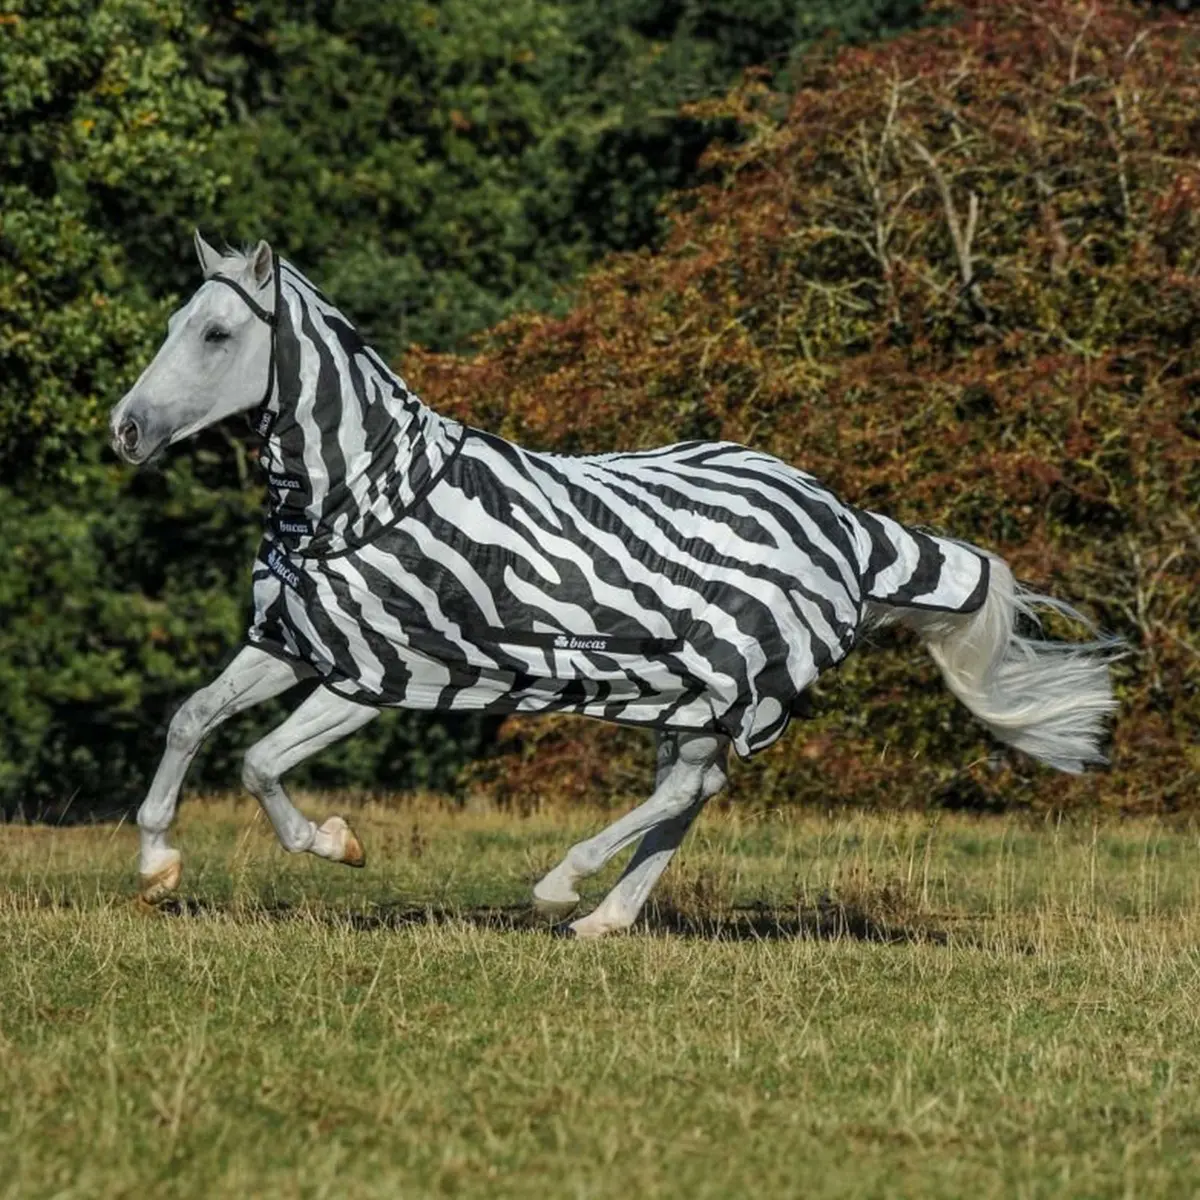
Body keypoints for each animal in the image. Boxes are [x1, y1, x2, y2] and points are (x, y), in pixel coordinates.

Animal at [108, 234, 1118, 938]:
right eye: (172, 325)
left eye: (217, 333)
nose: (126, 430)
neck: (359, 494)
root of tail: (847, 522)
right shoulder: (292, 644)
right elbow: (193, 721)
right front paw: (157, 866)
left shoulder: (380, 673)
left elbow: (258, 761)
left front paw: (335, 843)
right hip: (693, 692)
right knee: (695, 790)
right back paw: (605, 917)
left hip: (731, 680)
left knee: (686, 789)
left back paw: (562, 887)